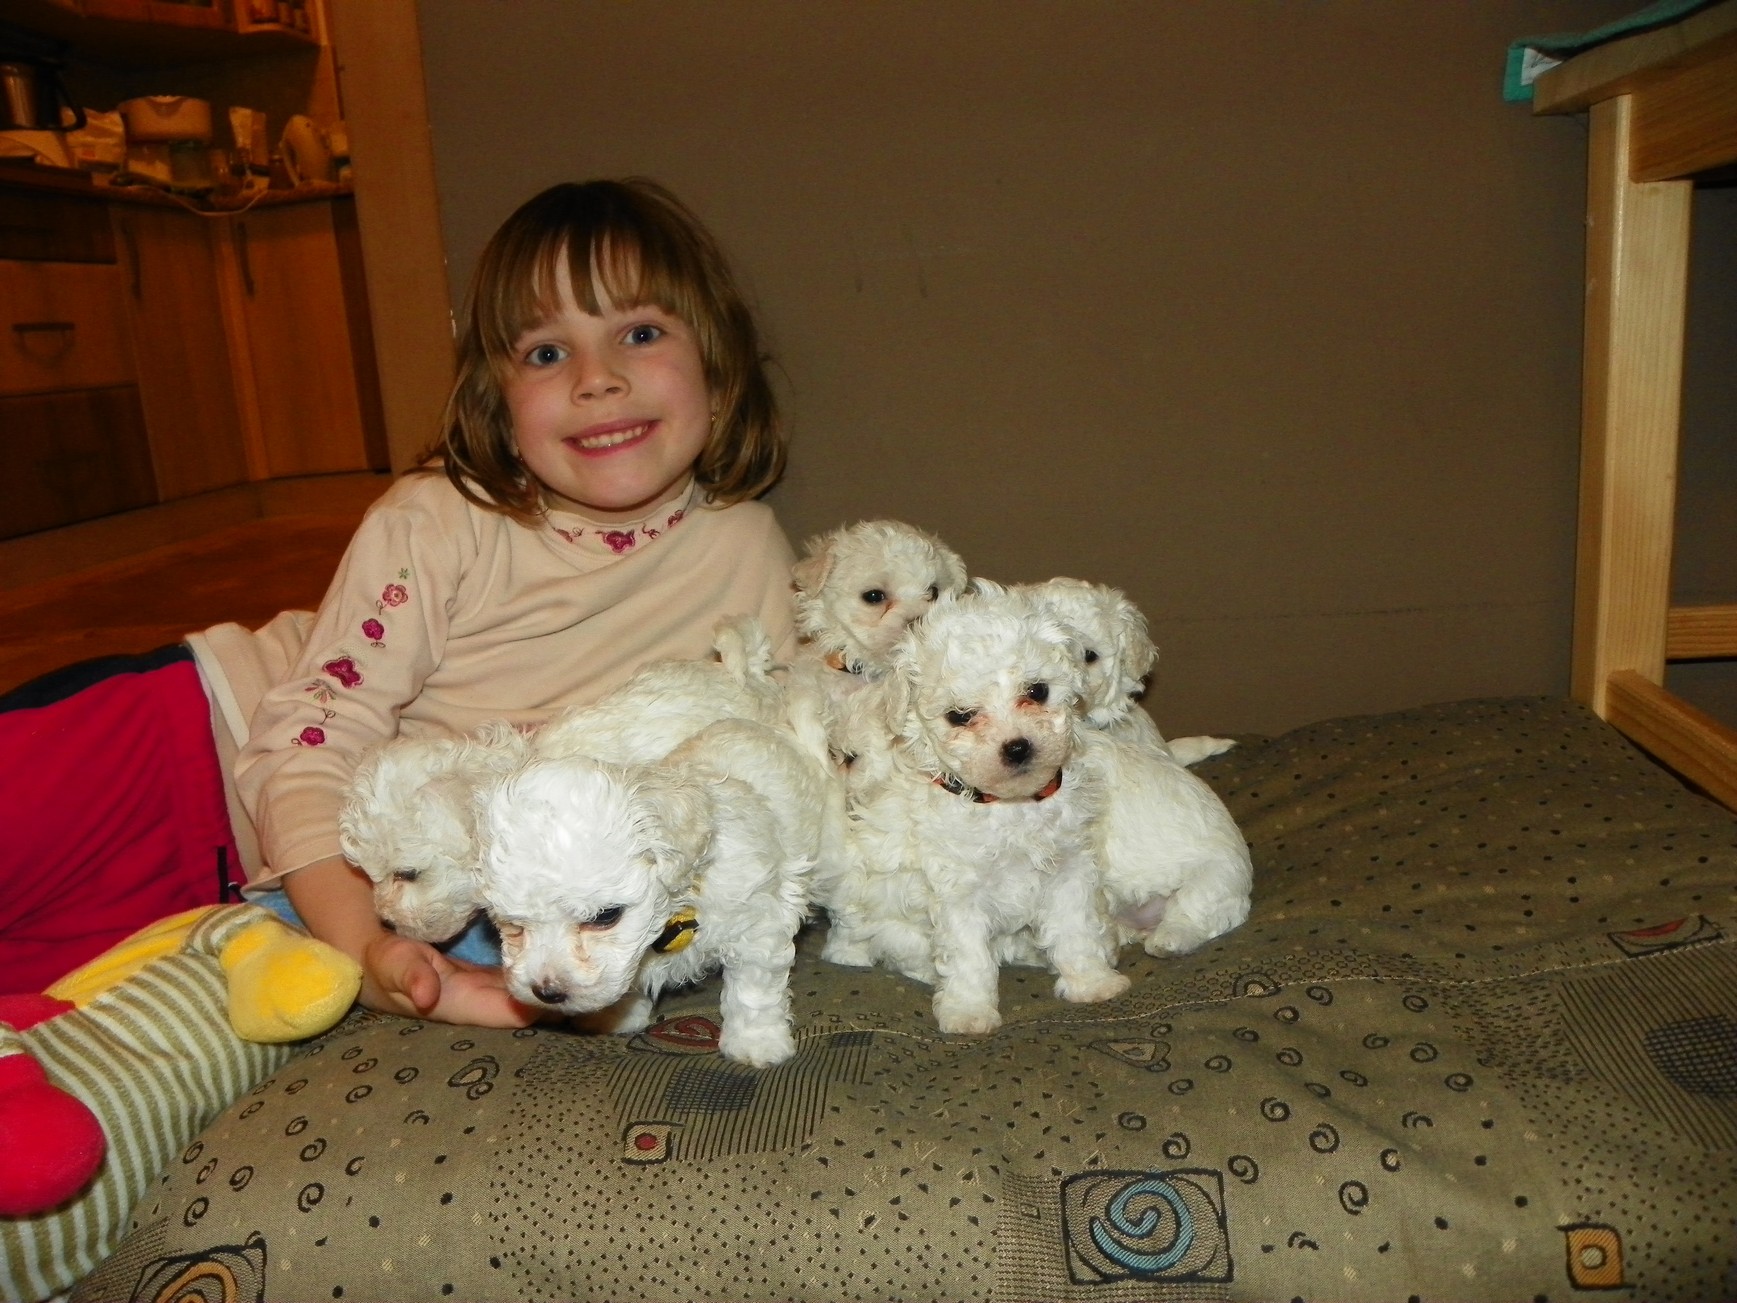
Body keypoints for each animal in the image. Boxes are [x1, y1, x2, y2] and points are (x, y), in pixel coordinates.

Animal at [478, 717, 830, 1067]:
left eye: (606, 916)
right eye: (513, 925)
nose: (547, 992)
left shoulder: (757, 925)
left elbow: (753, 990)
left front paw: (756, 1043)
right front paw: (617, 1016)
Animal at [819, 580, 1129, 1035]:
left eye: (1037, 691)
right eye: (960, 716)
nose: (1017, 747)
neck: (1006, 805)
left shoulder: (1068, 870)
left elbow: (1076, 930)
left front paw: (1091, 982)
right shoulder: (958, 890)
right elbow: (968, 957)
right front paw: (968, 1012)